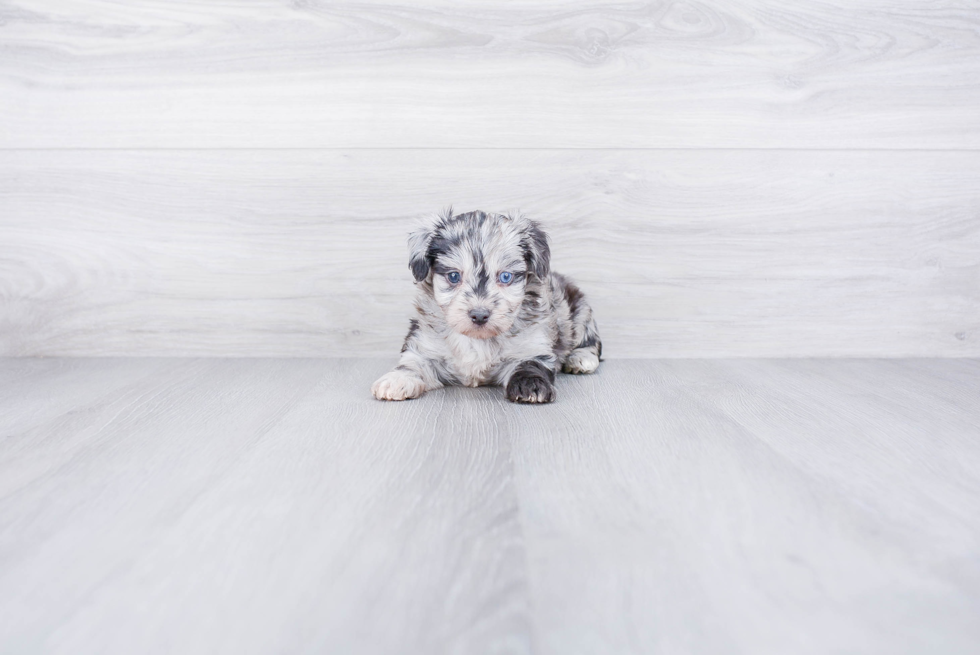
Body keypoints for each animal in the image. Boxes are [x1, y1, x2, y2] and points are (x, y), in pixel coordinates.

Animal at [372, 210, 600, 404]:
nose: (479, 315)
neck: (477, 340)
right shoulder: (423, 345)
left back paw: (581, 359)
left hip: (581, 312)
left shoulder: (533, 346)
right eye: (453, 276)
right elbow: (412, 363)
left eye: (505, 277)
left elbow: (530, 365)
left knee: (591, 342)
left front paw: (532, 386)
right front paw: (397, 379)